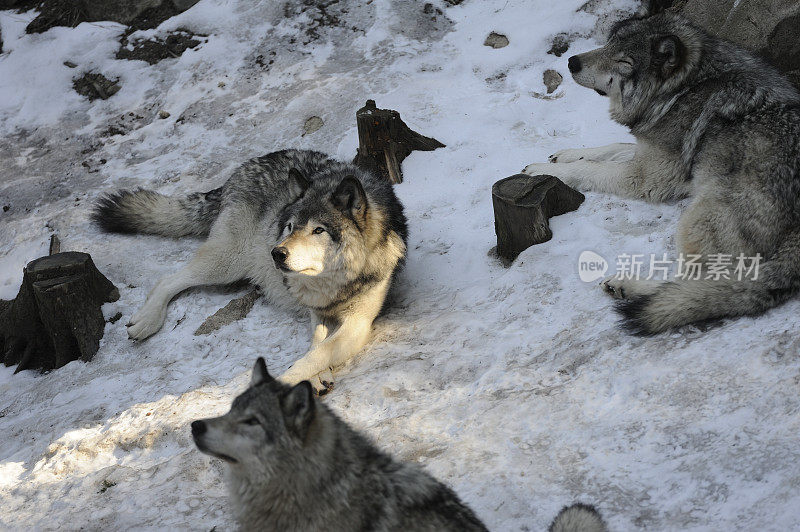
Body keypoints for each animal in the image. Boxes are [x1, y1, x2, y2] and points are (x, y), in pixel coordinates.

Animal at [93, 150, 406, 390]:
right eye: (290, 226)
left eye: (318, 230)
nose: (277, 253)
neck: (336, 282)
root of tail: (244, 167)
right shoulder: (317, 311)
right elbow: (316, 347)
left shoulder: (356, 321)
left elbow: (318, 351)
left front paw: (312, 375)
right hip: (227, 263)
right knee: (168, 280)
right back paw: (146, 321)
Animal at [520, 8, 800, 334]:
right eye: (608, 45)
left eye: (623, 62)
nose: (572, 62)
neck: (684, 87)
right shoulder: (647, 150)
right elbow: (610, 147)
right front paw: (565, 154)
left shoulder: (647, 176)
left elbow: (592, 168)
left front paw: (544, 172)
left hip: (696, 218)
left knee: (695, 285)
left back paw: (626, 286)